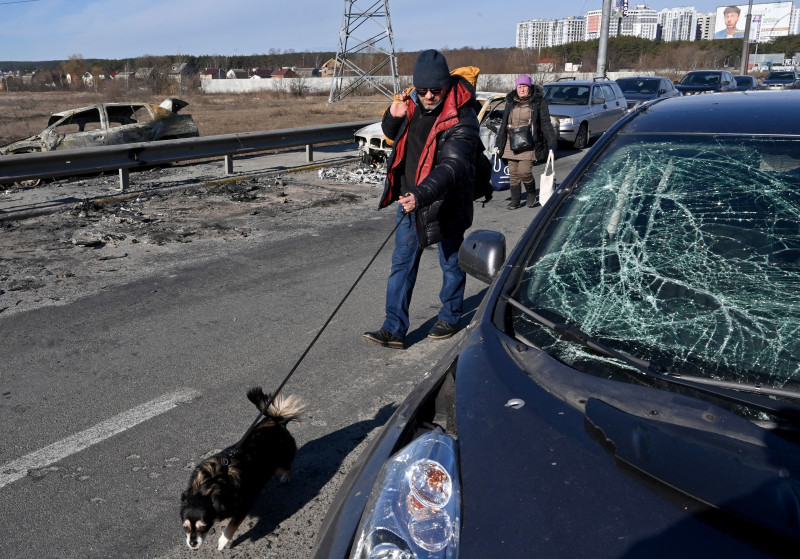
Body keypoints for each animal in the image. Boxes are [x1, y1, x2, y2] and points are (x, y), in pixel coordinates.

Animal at [180, 390, 306, 552]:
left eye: (204, 527)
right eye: (185, 528)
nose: (192, 543)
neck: (209, 484)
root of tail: (277, 421)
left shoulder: (242, 506)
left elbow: (231, 525)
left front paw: (222, 541)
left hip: (284, 457)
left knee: (287, 466)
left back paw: (285, 476)